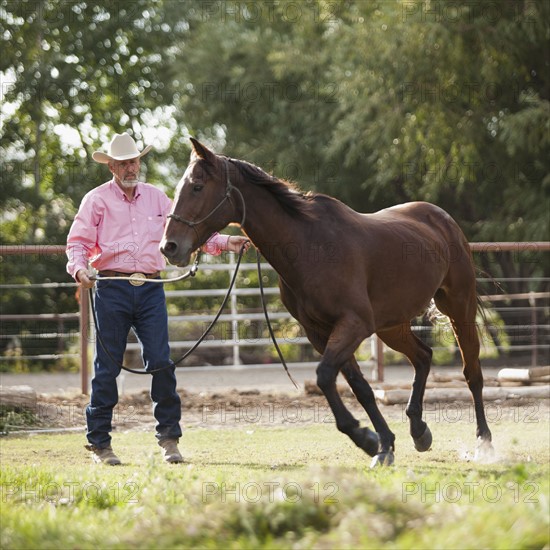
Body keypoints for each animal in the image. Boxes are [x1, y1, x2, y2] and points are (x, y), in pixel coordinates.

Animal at [161, 140, 496, 468]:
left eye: (197, 187)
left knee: (472, 373)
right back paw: (419, 430)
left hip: (459, 308)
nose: (169, 247)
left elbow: (324, 376)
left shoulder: (353, 325)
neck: (310, 244)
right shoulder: (321, 332)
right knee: (424, 356)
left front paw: (367, 439)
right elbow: (359, 387)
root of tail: (441, 217)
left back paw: (484, 442)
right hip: (391, 326)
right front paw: (381, 443)